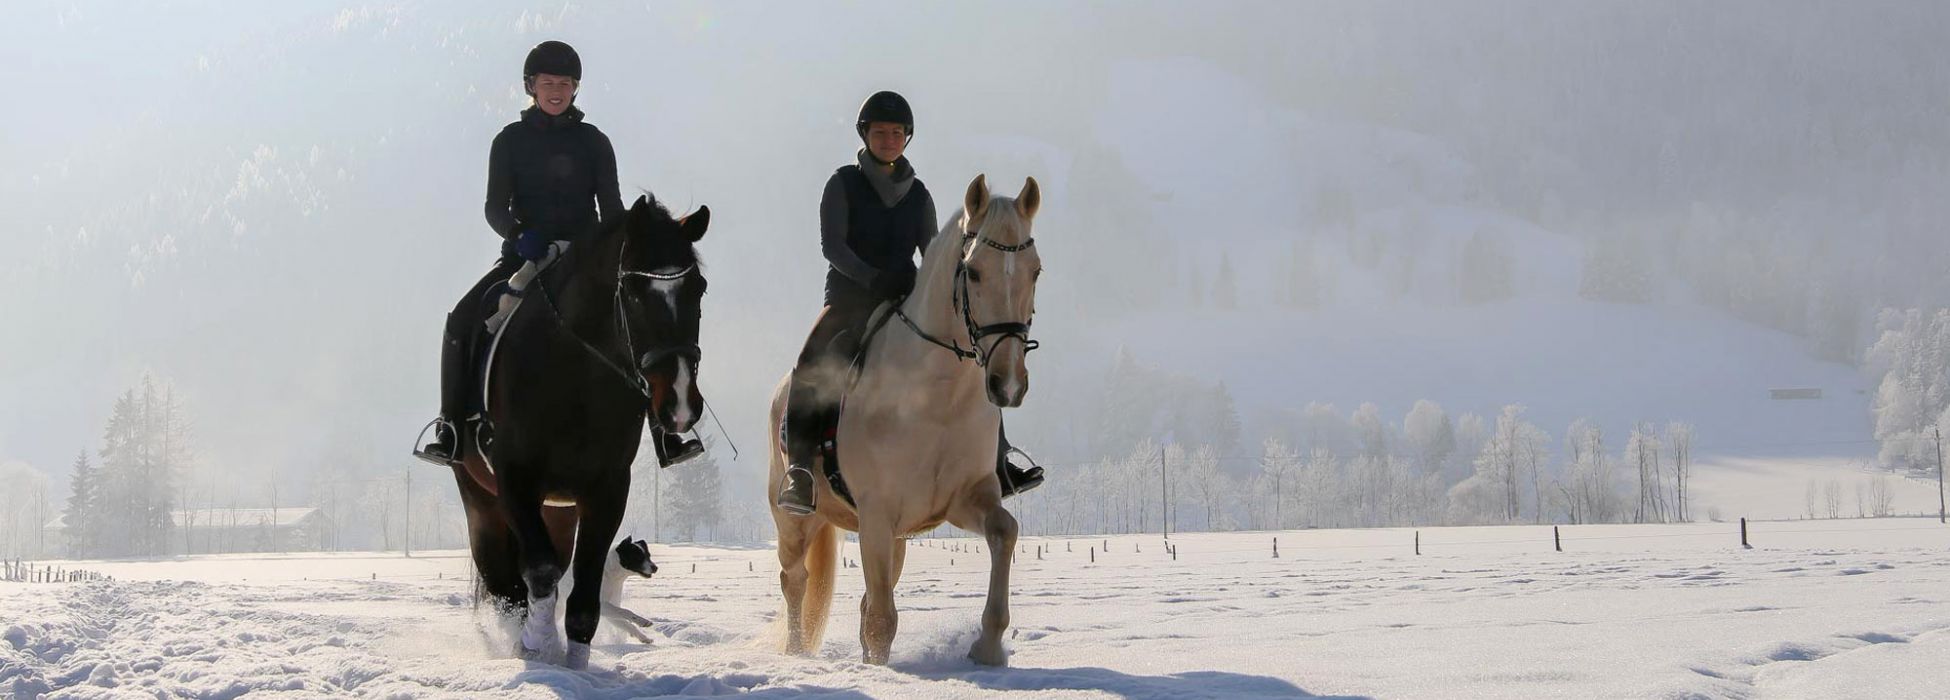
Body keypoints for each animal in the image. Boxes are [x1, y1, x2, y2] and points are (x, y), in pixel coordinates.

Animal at [446, 194, 709, 670]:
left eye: (697, 288)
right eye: (634, 292)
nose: (680, 402)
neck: (576, 373)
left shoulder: (607, 488)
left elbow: (585, 593)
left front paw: (575, 666)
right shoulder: (515, 480)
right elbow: (540, 573)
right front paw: (537, 649)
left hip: (559, 511)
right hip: (481, 503)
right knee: (505, 586)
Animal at [768, 175, 1045, 670]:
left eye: (1035, 271)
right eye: (974, 272)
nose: (1008, 383)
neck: (937, 401)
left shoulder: (965, 499)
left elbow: (1004, 532)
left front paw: (988, 646)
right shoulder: (877, 514)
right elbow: (881, 620)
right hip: (794, 521)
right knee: (795, 580)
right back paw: (797, 654)